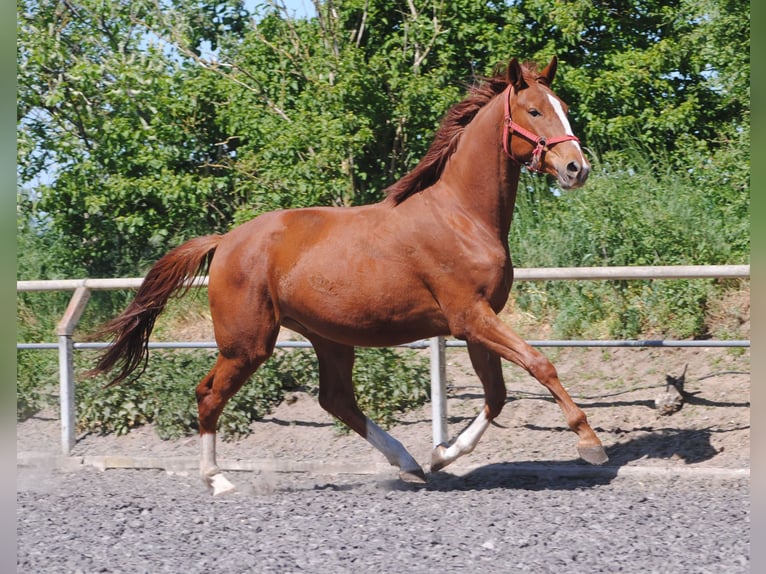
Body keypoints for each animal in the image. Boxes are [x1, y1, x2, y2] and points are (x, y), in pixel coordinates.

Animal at [90, 56, 608, 496]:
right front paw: (590, 444)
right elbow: (540, 364)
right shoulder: (470, 317)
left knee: (336, 400)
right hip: (247, 344)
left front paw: (442, 455)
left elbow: (497, 395)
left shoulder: (477, 322)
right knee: (208, 395)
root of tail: (226, 242)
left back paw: (409, 464)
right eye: (534, 110)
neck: (462, 215)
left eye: (563, 109)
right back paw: (218, 480)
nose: (577, 168)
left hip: (329, 338)